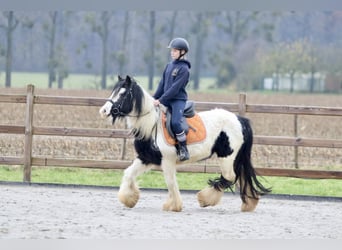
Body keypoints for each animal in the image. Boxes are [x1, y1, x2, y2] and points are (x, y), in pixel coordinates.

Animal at [99, 75, 272, 212]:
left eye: (122, 93)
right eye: (113, 91)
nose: (104, 111)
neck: (151, 125)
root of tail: (240, 119)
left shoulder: (167, 160)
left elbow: (170, 182)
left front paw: (173, 205)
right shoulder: (146, 158)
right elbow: (129, 174)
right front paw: (129, 199)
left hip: (227, 157)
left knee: (229, 177)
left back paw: (205, 199)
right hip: (235, 158)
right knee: (241, 176)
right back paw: (249, 204)